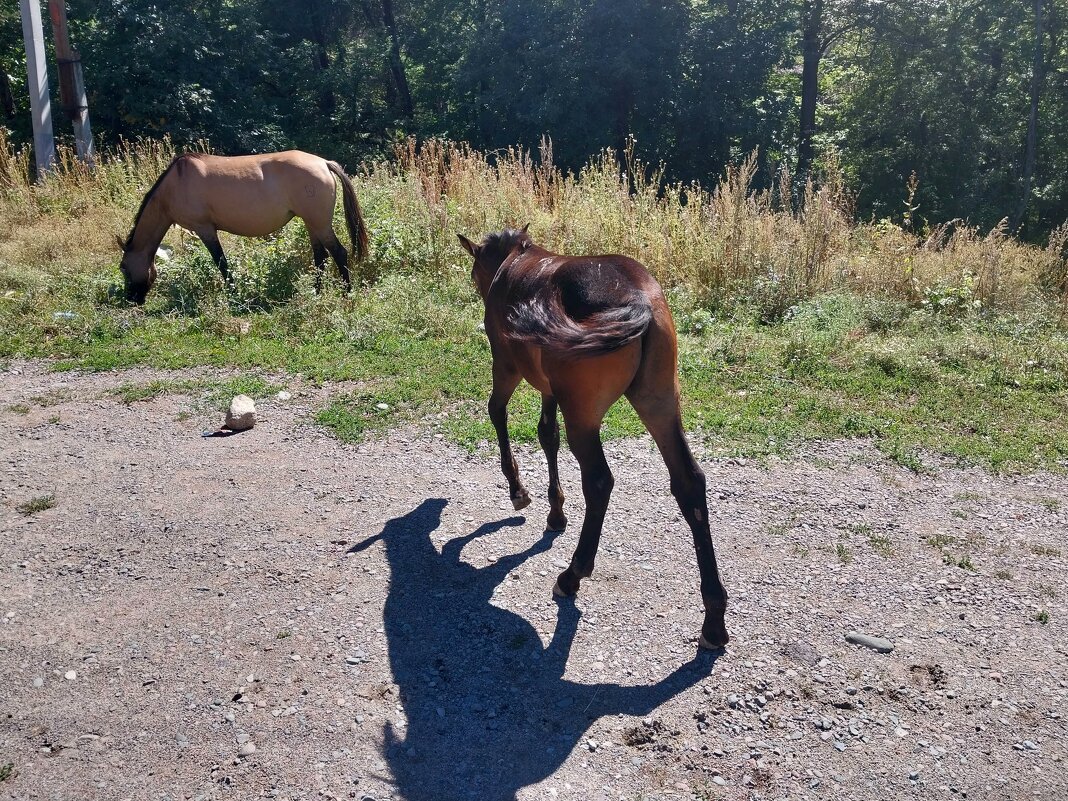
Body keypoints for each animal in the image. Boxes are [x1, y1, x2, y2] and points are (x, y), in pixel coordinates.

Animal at [116, 150, 371, 303]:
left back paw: (347, 294)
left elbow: (221, 263)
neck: (175, 184)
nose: (132, 299)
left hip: (319, 224)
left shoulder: (205, 229)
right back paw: (315, 292)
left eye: (123, 267)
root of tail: (324, 163)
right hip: (312, 224)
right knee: (321, 257)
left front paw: (233, 293)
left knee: (339, 252)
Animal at [454, 226, 730, 653]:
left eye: (474, 274)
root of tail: (637, 301)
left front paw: (519, 491)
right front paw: (555, 512)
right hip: (660, 404)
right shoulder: (550, 390)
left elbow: (497, 412)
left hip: (583, 417)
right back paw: (714, 620)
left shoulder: (507, 366)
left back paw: (573, 574)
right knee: (689, 482)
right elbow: (546, 435)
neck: (515, 262)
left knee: (600, 481)